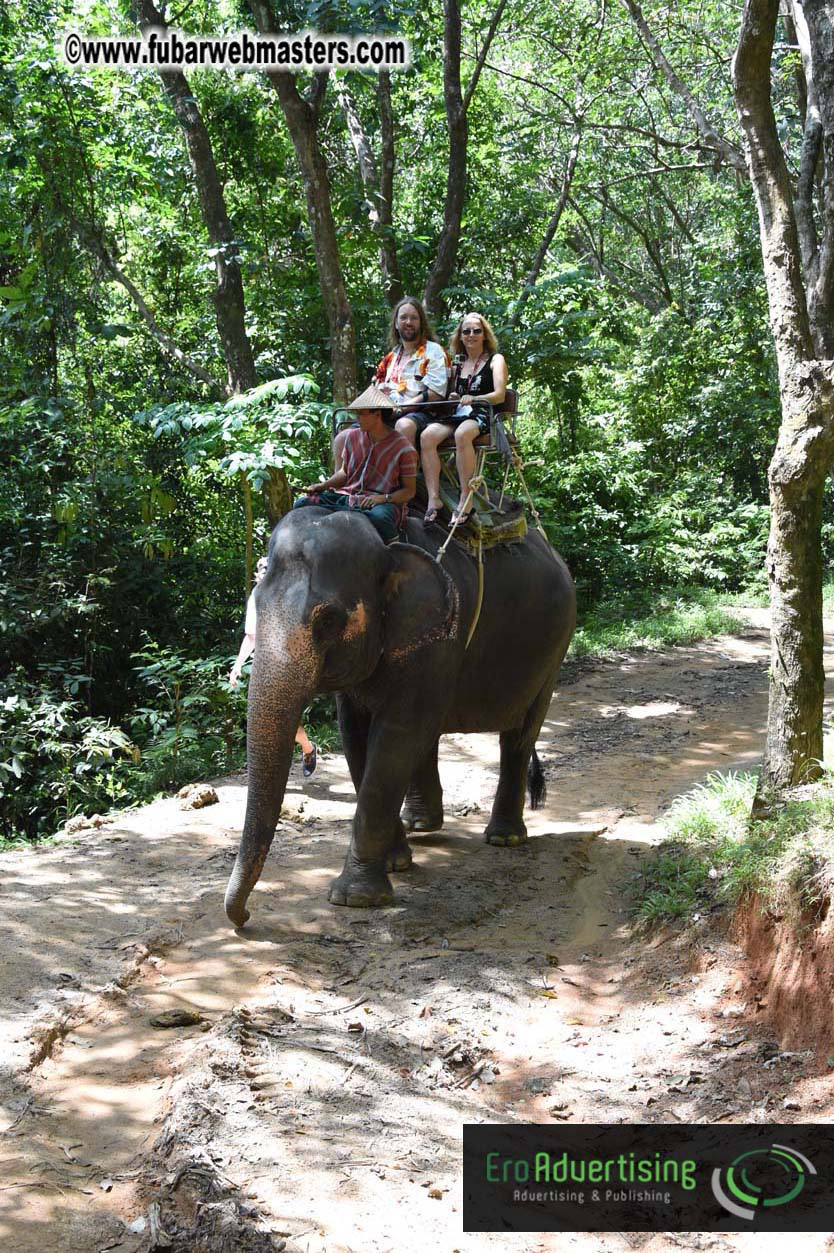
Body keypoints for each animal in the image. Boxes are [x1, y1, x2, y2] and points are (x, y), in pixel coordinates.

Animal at [224, 506, 576, 927]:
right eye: (255, 608)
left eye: (328, 621)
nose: (244, 917)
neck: (385, 543)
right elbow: (356, 737)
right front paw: (394, 864)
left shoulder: (440, 636)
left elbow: (396, 736)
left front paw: (356, 898)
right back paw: (421, 824)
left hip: (555, 649)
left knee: (519, 735)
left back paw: (504, 838)